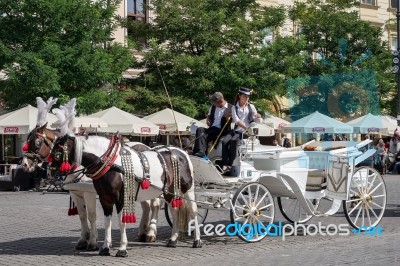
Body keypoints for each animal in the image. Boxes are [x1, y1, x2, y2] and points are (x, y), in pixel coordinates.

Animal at [49, 134, 200, 256]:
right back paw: (173, 239)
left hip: (188, 190)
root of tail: (180, 151)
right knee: (174, 211)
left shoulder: (120, 198)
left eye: (57, 150)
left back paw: (197, 241)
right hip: (168, 191)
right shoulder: (105, 199)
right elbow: (107, 222)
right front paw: (105, 247)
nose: (49, 170)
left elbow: (121, 221)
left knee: (193, 211)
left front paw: (122, 248)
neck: (112, 164)